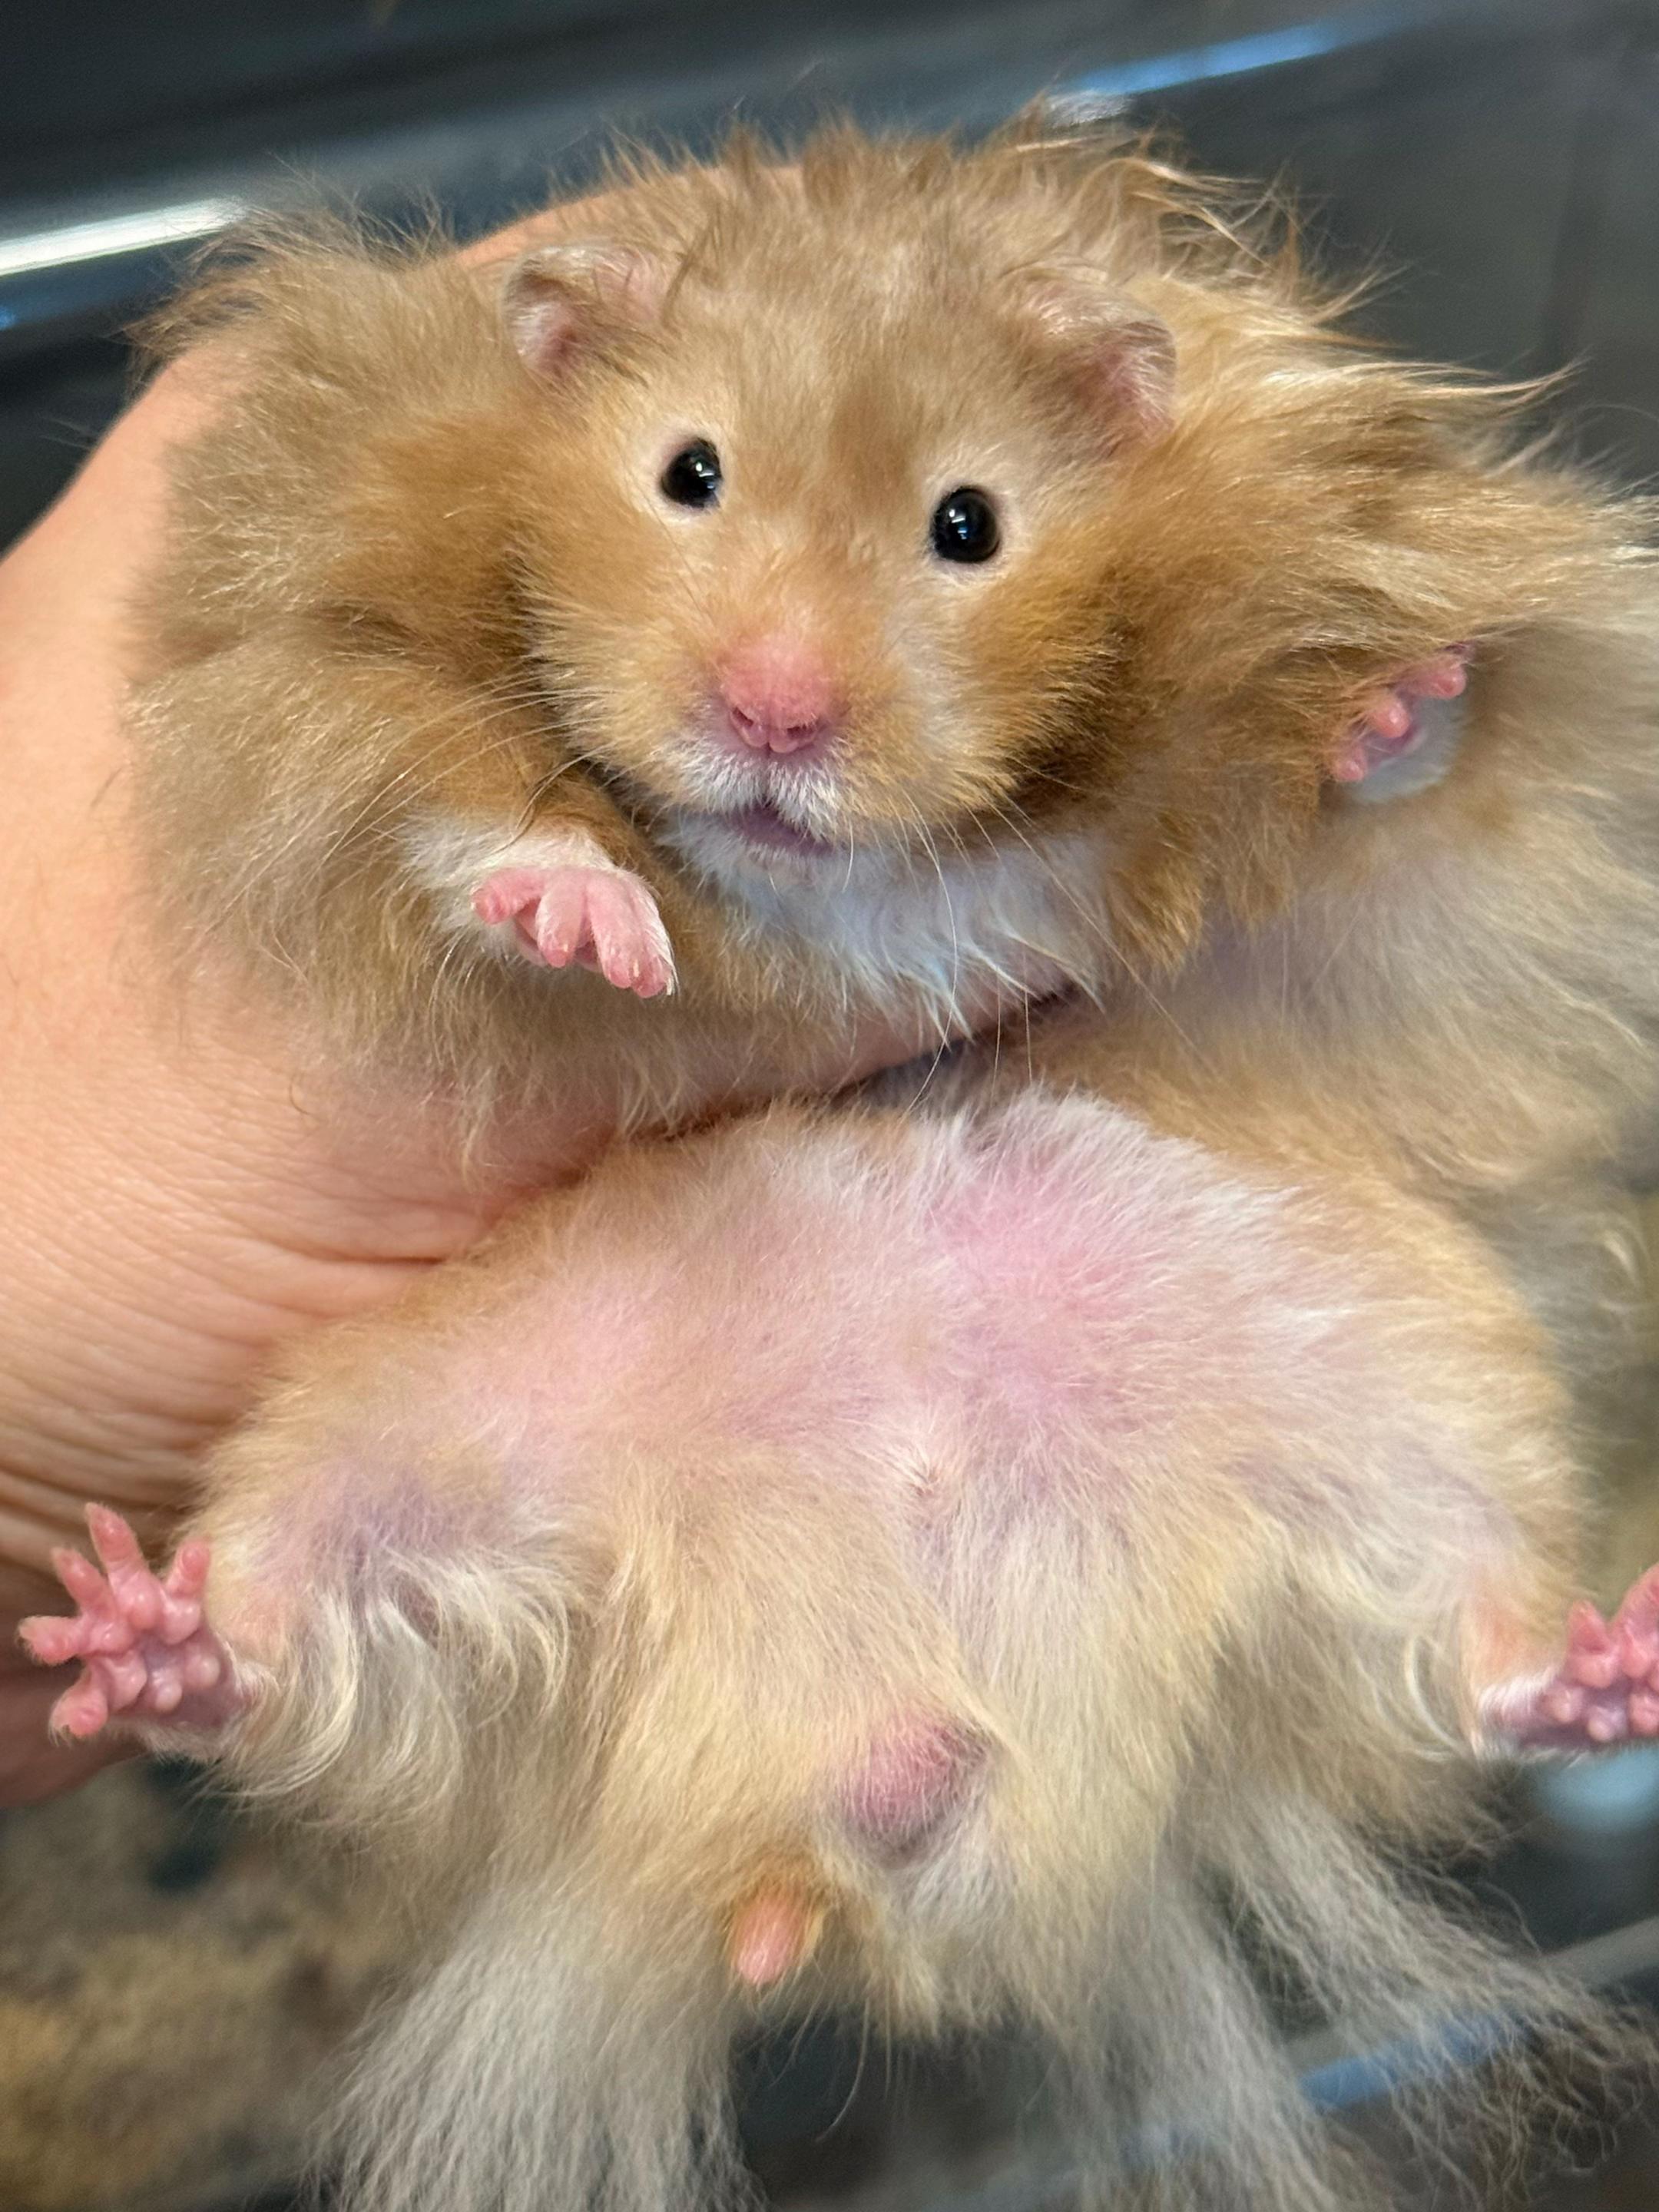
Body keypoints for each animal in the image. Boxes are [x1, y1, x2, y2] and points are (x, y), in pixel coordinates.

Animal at [20, 1068, 1640, 2212]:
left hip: (1380, 1369)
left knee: (1474, 1638)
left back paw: (1608, 1673)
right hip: (430, 1425)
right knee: (291, 1637)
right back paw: (136, 1634)